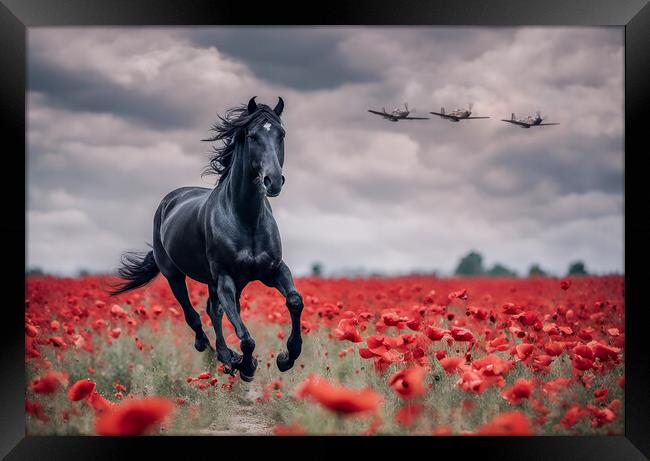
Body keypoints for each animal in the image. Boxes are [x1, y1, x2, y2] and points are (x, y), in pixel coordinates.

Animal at [110, 96, 302, 380]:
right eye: (253, 136)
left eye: (282, 134)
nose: (273, 181)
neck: (246, 217)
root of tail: (169, 201)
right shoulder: (225, 278)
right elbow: (246, 338)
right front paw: (247, 366)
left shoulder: (274, 269)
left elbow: (294, 301)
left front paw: (287, 357)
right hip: (175, 275)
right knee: (195, 315)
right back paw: (218, 353)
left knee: (215, 310)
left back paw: (228, 356)